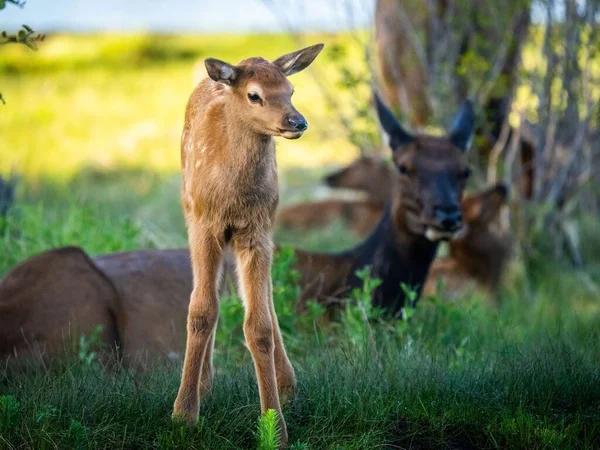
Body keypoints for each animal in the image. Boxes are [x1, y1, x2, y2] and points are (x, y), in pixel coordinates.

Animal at [171, 44, 324, 444]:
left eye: (291, 89)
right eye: (254, 95)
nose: (297, 122)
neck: (232, 195)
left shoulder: (255, 232)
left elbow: (259, 325)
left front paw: (274, 425)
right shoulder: (205, 225)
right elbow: (201, 311)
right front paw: (184, 413)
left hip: (266, 224)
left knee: (264, 299)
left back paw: (286, 384)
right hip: (190, 210)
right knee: (210, 293)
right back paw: (204, 383)